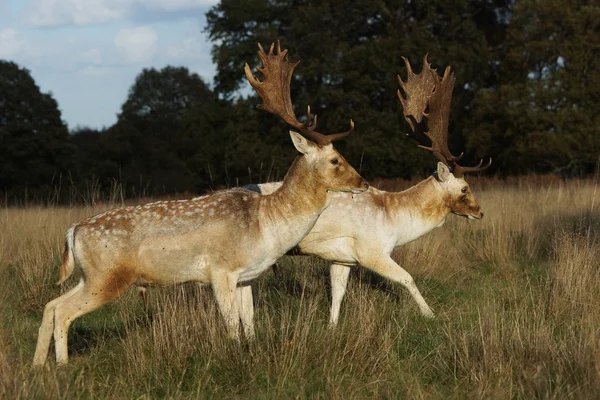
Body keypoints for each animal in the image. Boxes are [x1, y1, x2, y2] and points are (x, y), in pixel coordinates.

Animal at [34, 43, 370, 366]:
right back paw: (62, 365)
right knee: (63, 311)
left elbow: (249, 322)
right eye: (335, 160)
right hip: (107, 277)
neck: (268, 224)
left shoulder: (246, 277)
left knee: (50, 305)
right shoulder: (220, 271)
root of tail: (73, 230)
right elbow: (232, 324)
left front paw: (251, 350)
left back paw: (39, 365)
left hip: (88, 275)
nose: (364, 182)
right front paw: (234, 355)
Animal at [236, 56, 492, 324]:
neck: (396, 220)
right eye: (464, 188)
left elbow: (337, 294)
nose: (479, 212)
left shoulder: (342, 259)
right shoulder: (371, 251)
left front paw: (332, 325)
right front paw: (430, 314)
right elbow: (407, 278)